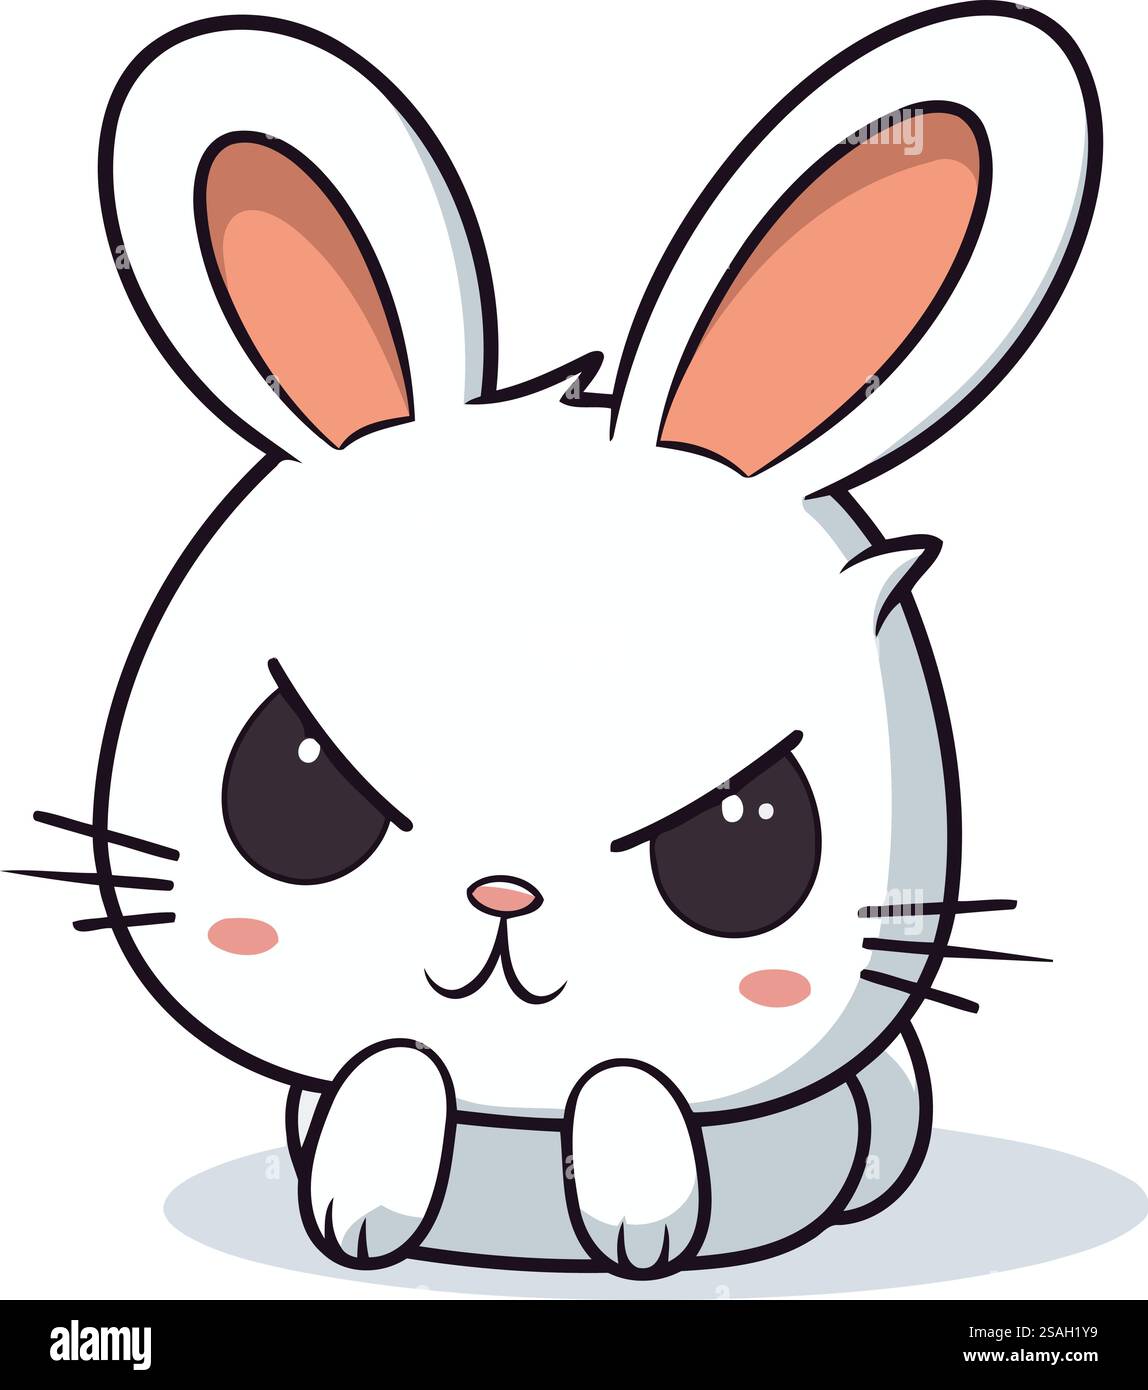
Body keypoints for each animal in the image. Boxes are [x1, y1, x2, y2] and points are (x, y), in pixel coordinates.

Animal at [29, 6, 1097, 1279]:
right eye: (289, 781)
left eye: (750, 834)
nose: (502, 893)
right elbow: (394, 1058)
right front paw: (369, 1180)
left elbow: (627, 1075)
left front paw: (638, 1197)